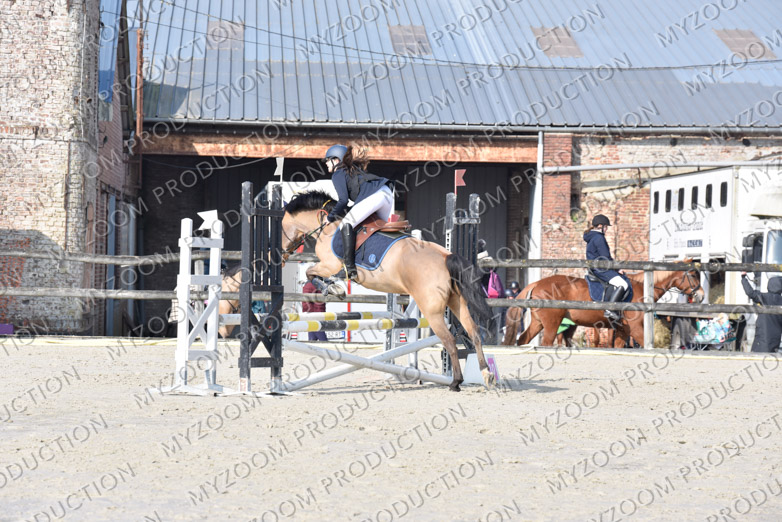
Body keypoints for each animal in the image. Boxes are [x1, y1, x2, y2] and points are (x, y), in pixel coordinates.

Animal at [280, 190, 495, 391]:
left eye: (280, 228)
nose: (279, 257)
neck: (328, 225)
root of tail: (445, 256)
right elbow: (311, 273)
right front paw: (334, 286)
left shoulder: (329, 264)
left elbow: (310, 272)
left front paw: (333, 287)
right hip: (457, 302)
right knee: (473, 333)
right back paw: (486, 374)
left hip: (431, 311)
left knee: (449, 340)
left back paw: (456, 382)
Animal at [501, 267, 704, 347]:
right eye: (693, 275)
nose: (701, 295)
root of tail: (536, 283)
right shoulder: (636, 329)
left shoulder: (622, 330)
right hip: (552, 324)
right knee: (546, 343)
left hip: (538, 323)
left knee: (523, 339)